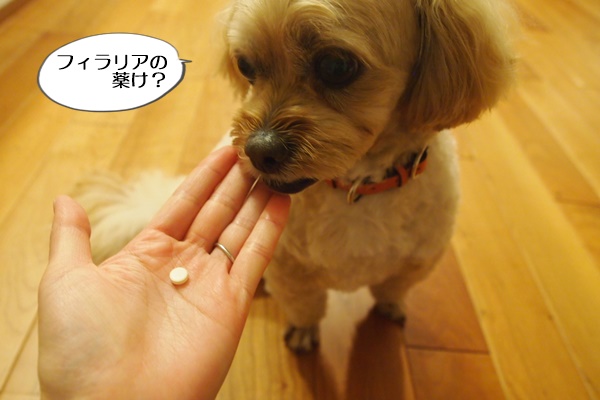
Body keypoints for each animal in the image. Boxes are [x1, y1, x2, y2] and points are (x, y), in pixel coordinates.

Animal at [76, 0, 515, 352]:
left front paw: (390, 306)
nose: (258, 151)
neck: (357, 186)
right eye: (245, 65)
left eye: (337, 65)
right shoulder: (290, 272)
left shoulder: (417, 262)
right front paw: (304, 333)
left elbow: (392, 288)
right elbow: (306, 307)